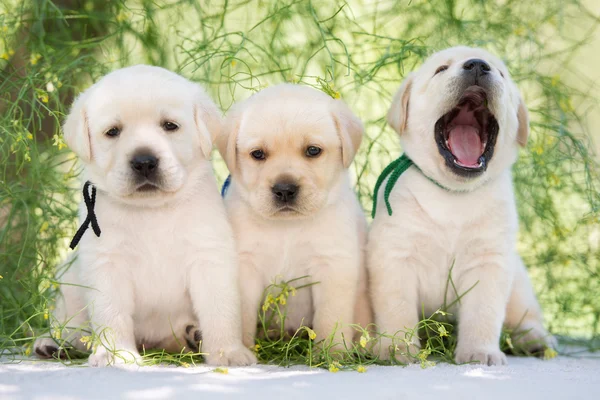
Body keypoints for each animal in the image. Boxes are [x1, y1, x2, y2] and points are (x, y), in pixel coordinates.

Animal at [33, 65, 255, 366]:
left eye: (170, 125)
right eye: (113, 131)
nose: (144, 162)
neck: (152, 211)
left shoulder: (209, 257)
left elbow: (220, 312)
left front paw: (227, 352)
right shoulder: (107, 263)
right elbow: (111, 314)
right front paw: (115, 354)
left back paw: (193, 335)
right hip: (69, 282)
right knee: (71, 327)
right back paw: (54, 344)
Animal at [218, 84, 372, 350]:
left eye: (313, 150)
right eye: (257, 154)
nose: (284, 189)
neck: (287, 227)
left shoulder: (333, 265)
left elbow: (331, 318)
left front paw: (331, 352)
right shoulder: (246, 266)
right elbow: (243, 315)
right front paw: (245, 349)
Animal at [368, 47, 556, 366]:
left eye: (500, 72)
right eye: (441, 69)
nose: (478, 65)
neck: (453, 195)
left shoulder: (489, 261)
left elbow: (483, 314)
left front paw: (480, 353)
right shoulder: (395, 256)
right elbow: (398, 309)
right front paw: (398, 350)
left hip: (519, 282)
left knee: (526, 319)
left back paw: (535, 341)